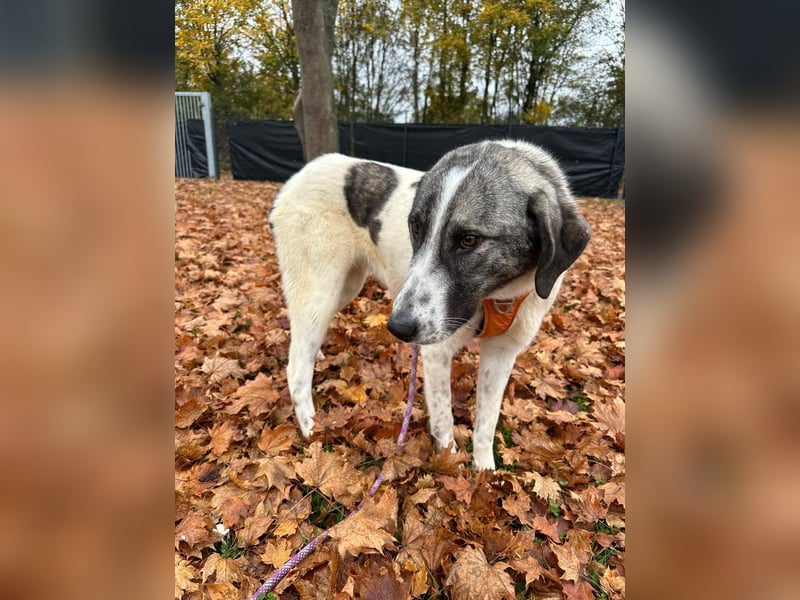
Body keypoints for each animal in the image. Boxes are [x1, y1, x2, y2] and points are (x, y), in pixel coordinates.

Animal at [272, 141, 592, 468]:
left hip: (346, 287)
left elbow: (486, 425)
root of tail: (301, 175)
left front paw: (484, 472)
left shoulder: (502, 354)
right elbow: (444, 421)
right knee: (296, 366)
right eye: (415, 227)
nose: (398, 328)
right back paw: (311, 427)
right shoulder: (437, 352)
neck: (497, 295)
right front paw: (451, 468)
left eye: (469, 240)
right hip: (320, 292)